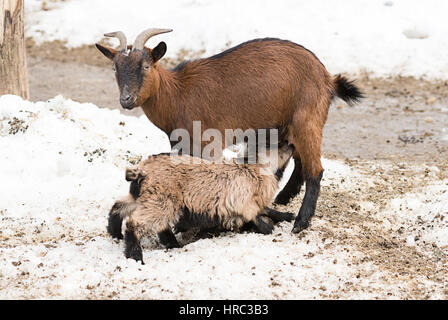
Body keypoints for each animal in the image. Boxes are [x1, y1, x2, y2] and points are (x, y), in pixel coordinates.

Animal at [96, 28, 362, 234]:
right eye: (115, 68)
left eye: (146, 65)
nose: (127, 100)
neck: (177, 93)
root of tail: (328, 78)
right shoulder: (181, 145)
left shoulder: (209, 142)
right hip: (286, 126)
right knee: (298, 161)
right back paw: (283, 198)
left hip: (307, 121)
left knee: (315, 170)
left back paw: (300, 223)